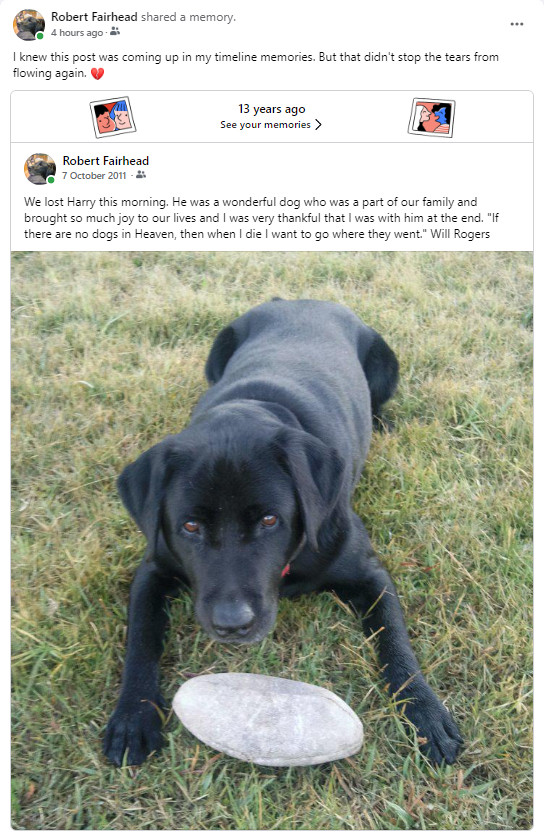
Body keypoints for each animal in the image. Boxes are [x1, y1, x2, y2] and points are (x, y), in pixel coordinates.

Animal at [104, 298, 462, 768]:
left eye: (271, 520)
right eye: (191, 526)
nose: (232, 624)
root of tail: (297, 299)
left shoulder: (371, 576)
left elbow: (397, 644)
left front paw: (426, 712)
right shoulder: (153, 569)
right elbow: (141, 641)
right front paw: (132, 716)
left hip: (387, 365)